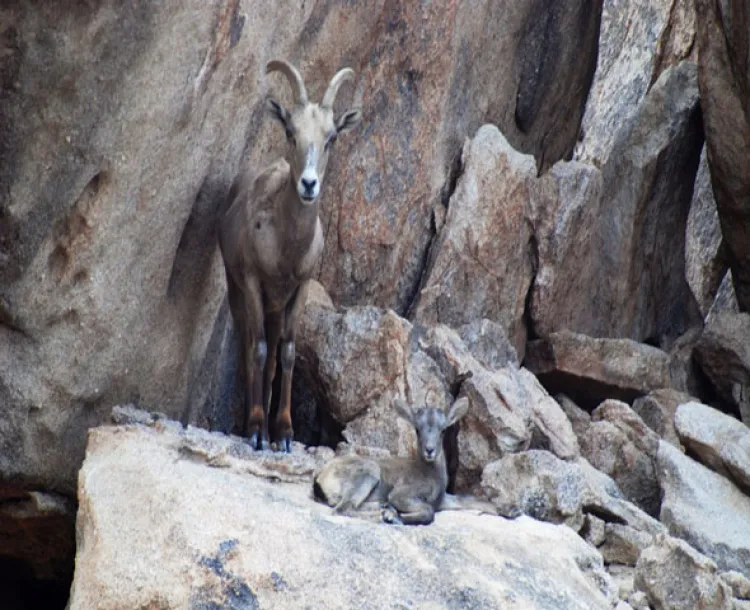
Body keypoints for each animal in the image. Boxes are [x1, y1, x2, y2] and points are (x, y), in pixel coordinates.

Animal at [219, 60, 362, 452]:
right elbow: (258, 350)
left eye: (332, 137)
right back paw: (252, 427)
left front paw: (283, 434)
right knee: (249, 349)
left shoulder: (297, 290)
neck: (286, 247)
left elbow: (287, 354)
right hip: (239, 293)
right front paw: (255, 431)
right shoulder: (253, 282)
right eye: (290, 131)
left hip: (274, 307)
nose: (309, 184)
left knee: (269, 360)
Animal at [314, 394, 496, 524]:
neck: (432, 477)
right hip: (368, 472)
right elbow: (428, 511)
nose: (429, 450)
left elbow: (469, 501)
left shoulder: (444, 499)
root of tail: (320, 478)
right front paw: (394, 515)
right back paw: (384, 514)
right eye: (417, 429)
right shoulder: (401, 493)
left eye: (443, 430)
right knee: (343, 508)